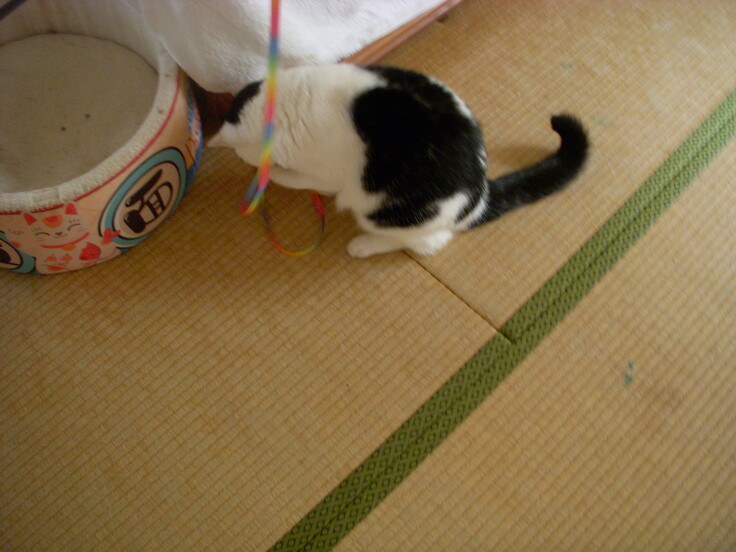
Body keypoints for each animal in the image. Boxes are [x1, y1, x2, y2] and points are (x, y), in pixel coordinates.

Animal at [209, 64, 589, 258]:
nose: (245, 161)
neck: (286, 102)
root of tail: (479, 195)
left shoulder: (325, 173)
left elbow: (297, 178)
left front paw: (271, 173)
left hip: (383, 210)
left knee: (428, 243)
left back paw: (364, 245)